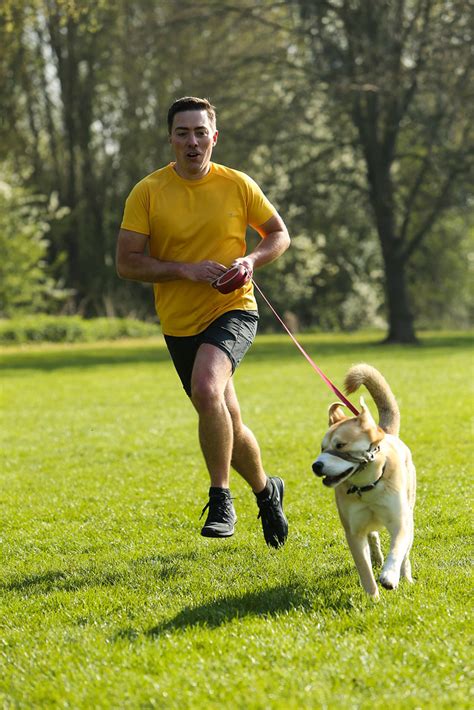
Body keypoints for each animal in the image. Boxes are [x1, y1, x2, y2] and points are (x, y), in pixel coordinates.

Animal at [312, 368, 416, 600]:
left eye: (340, 445)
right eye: (322, 448)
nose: (316, 466)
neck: (368, 486)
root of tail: (387, 432)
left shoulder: (399, 521)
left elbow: (397, 547)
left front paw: (389, 576)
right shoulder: (353, 531)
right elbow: (364, 568)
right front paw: (373, 598)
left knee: (405, 551)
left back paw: (405, 576)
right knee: (373, 536)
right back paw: (377, 557)